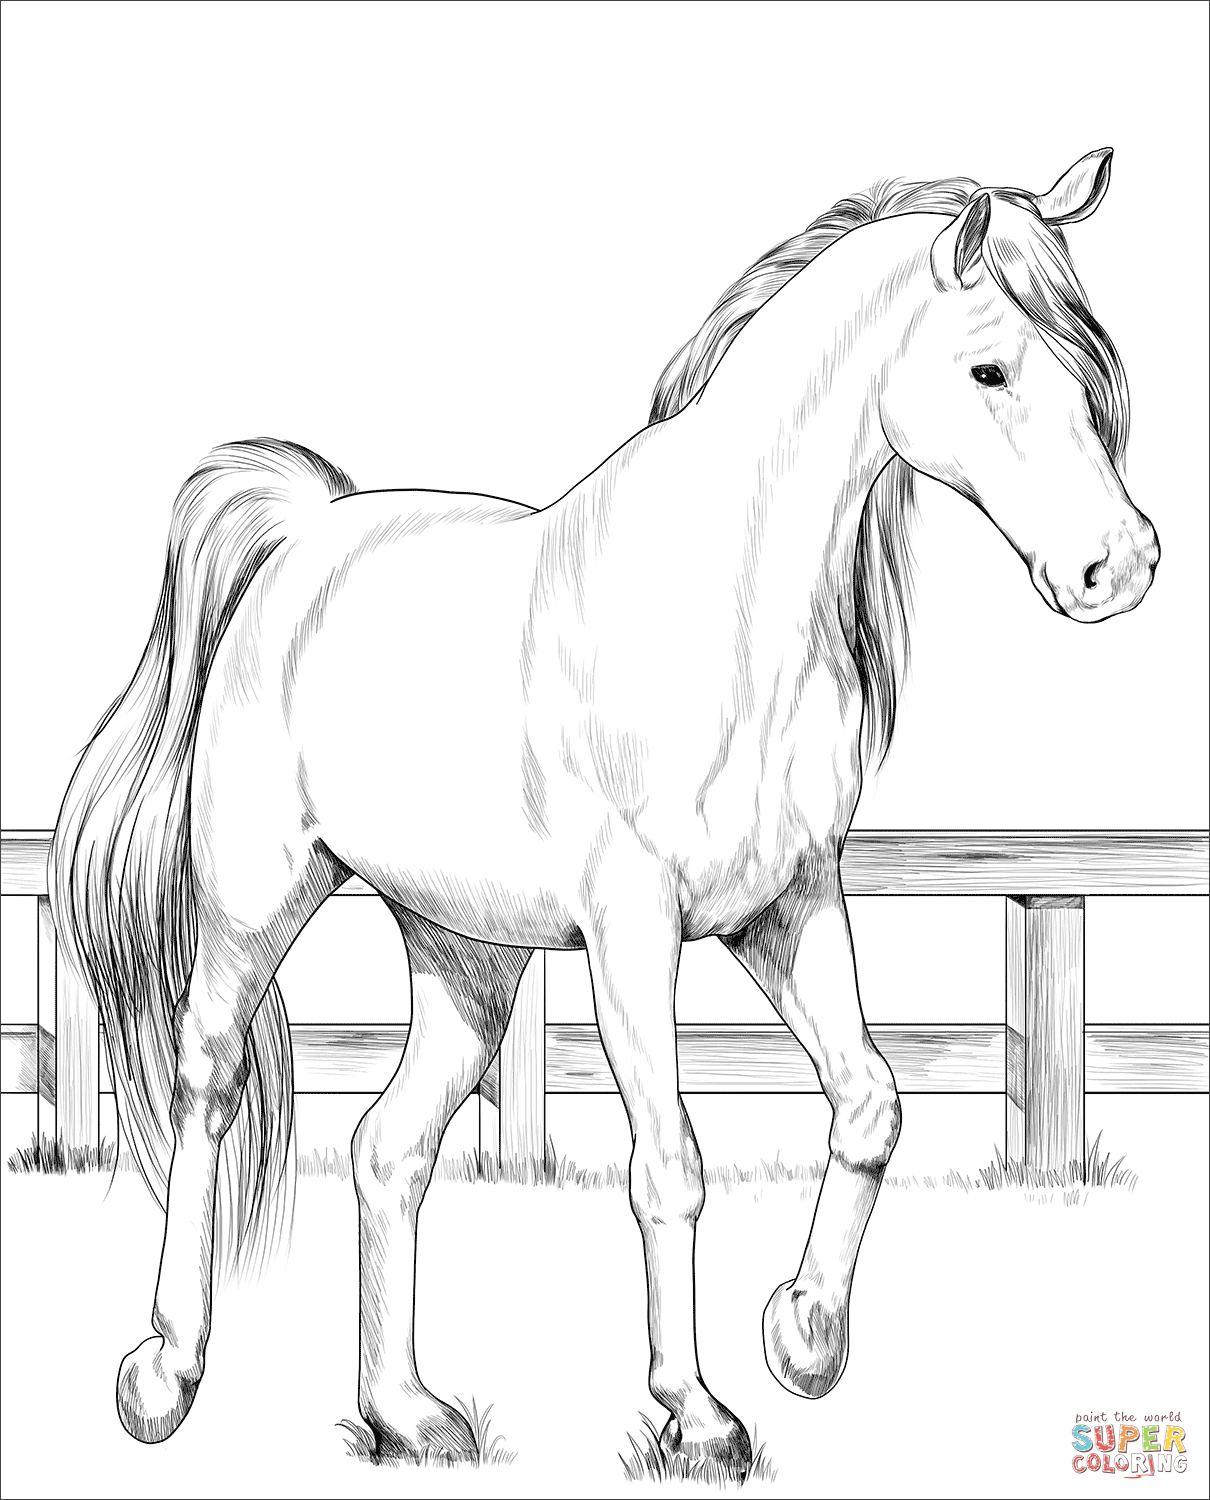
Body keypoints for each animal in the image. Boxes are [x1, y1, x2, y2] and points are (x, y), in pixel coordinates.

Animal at [50, 147, 1157, 1465]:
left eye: (1092, 365)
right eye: (990, 368)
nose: (1118, 566)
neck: (723, 608)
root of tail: (304, 538)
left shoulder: (786, 905)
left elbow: (869, 1101)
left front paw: (803, 1336)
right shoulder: (634, 929)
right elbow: (668, 1163)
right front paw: (701, 1412)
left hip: (466, 957)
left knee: (389, 1149)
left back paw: (409, 1413)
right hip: (255, 903)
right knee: (210, 1088)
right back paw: (164, 1374)